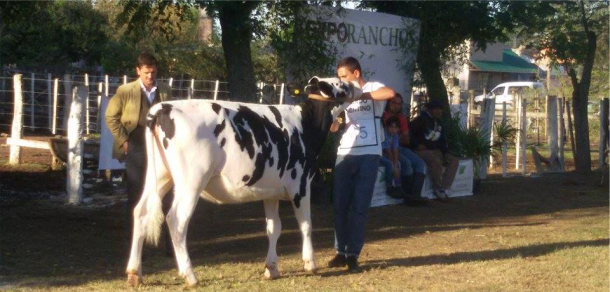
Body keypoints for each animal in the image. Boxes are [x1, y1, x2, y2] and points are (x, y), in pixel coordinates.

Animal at [125, 76, 358, 286]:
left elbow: (274, 228)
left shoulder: (271, 192)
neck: (305, 125)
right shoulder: (300, 185)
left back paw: (135, 274)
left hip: (160, 176)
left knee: (140, 211)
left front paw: (271, 268)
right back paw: (190, 276)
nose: (356, 83)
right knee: (176, 220)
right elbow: (306, 224)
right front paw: (310, 264)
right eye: (341, 83)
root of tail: (164, 107)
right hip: (191, 181)